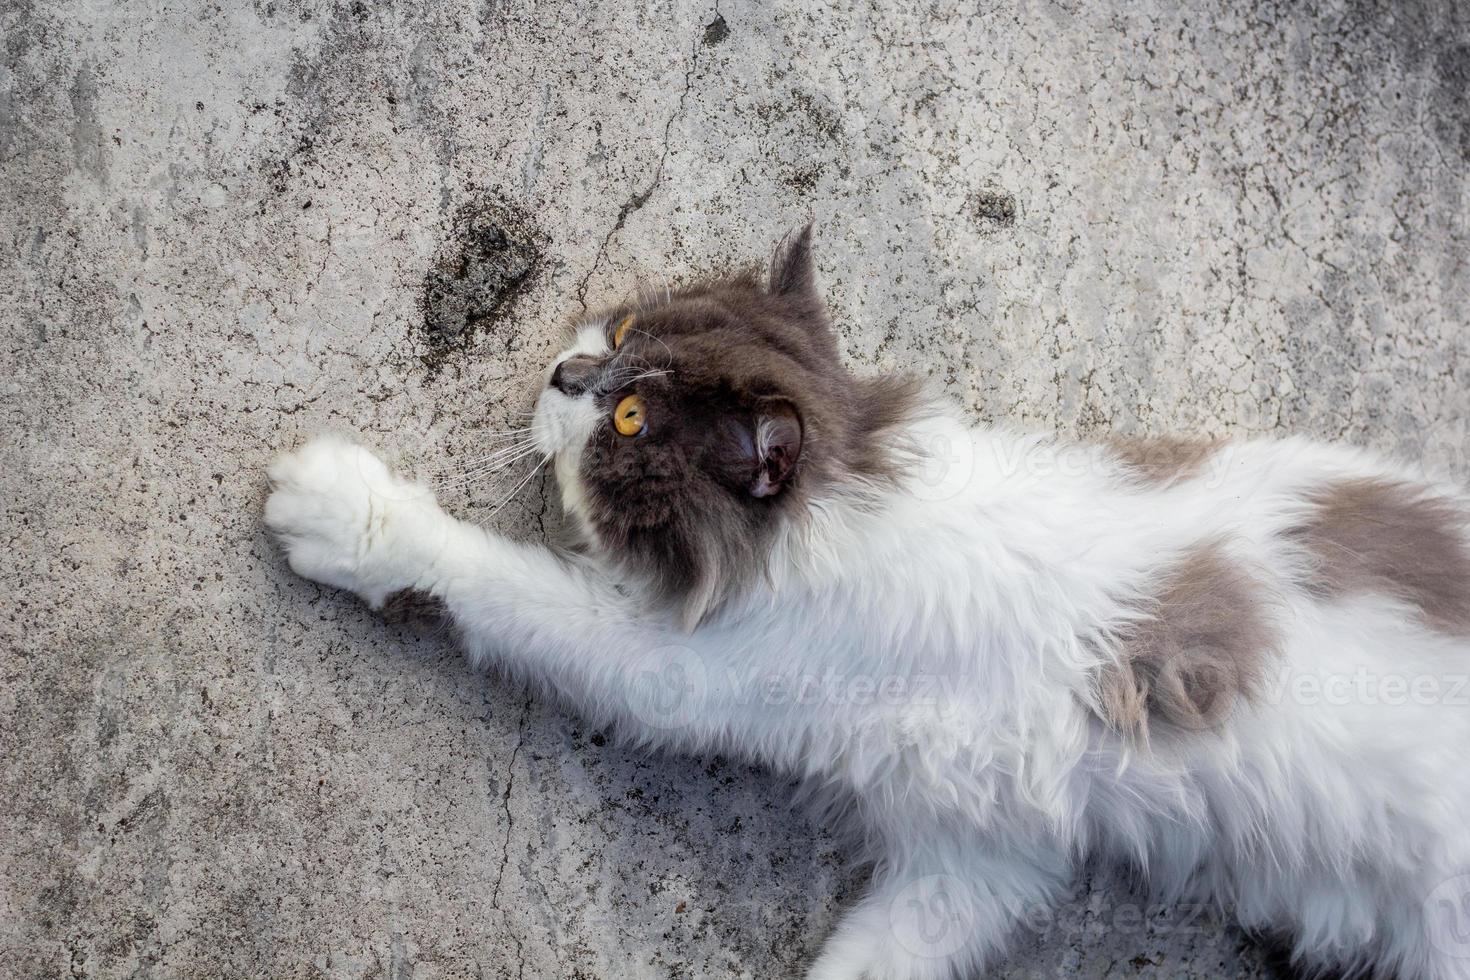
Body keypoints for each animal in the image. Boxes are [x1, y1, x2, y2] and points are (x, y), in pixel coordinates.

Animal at [264, 227, 1470, 980]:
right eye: (624, 334)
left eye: (631, 421)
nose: (563, 376)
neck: (851, 494)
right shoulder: (982, 847)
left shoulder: (685, 665)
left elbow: (499, 581)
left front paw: (347, 513)